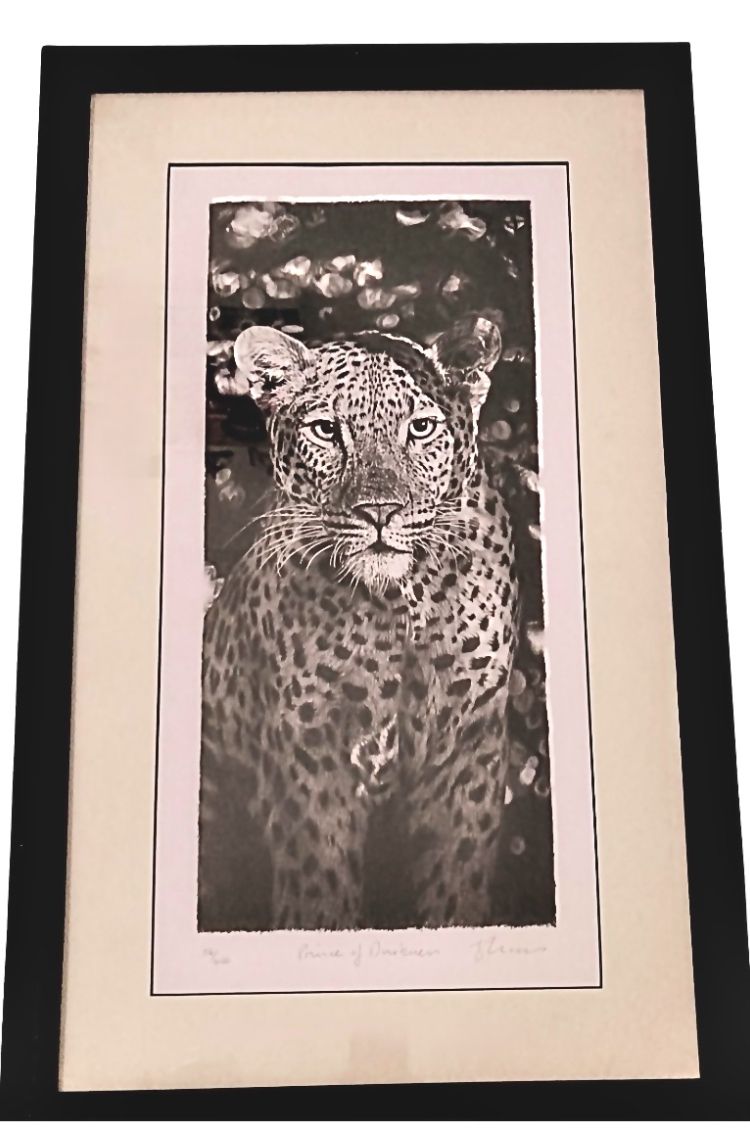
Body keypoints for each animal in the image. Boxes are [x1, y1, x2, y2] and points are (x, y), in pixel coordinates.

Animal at [199, 316, 521, 930]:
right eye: (327, 430)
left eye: (421, 427)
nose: (378, 512)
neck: (406, 603)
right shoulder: (308, 744)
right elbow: (318, 879)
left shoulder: (469, 743)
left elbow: (457, 872)